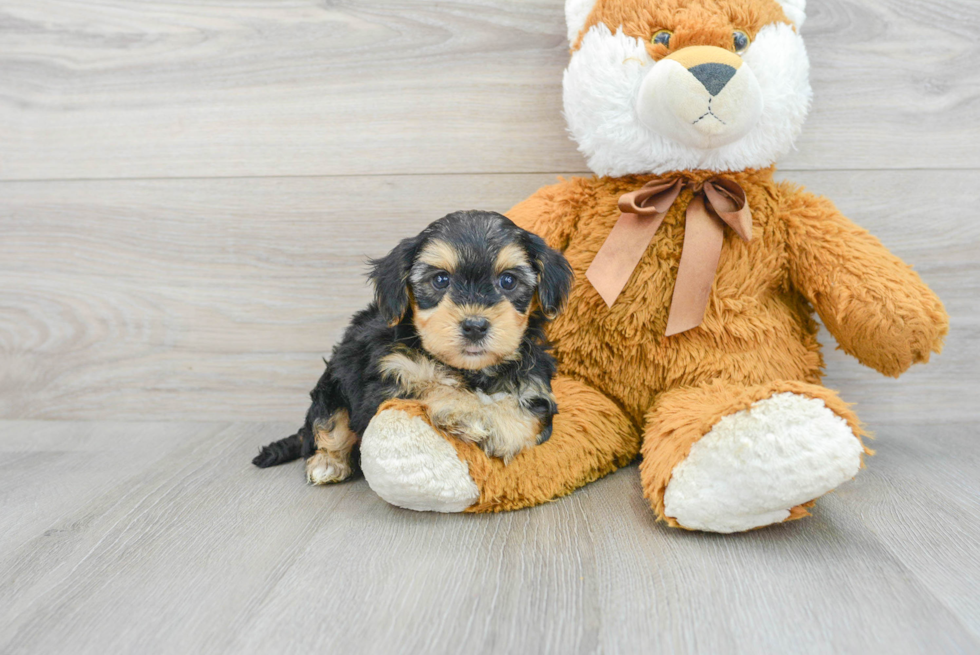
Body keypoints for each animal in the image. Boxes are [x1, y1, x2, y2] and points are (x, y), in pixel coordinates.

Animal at [255, 208, 576, 484]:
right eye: (441, 279)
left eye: (508, 280)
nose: (475, 326)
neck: (470, 370)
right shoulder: (388, 377)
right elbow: (428, 385)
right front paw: (465, 409)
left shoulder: (536, 385)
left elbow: (530, 414)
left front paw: (497, 426)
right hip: (334, 382)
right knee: (327, 424)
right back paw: (327, 462)